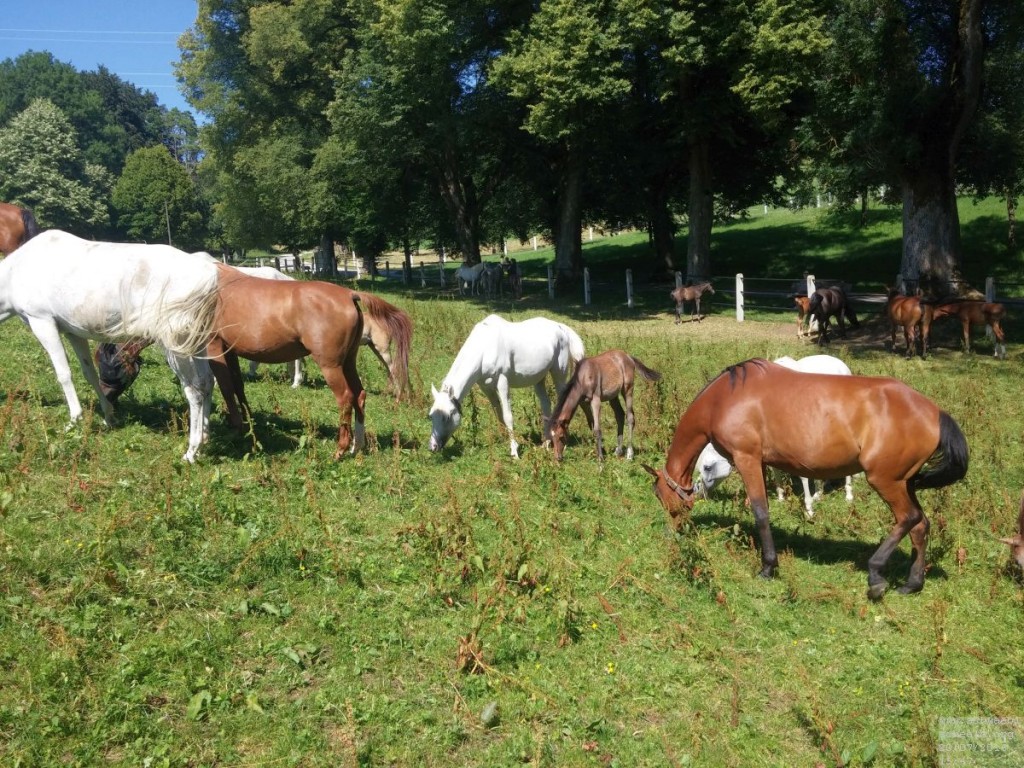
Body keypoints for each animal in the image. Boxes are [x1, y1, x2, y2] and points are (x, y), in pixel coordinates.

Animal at [2, 231, 220, 462]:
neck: (16, 271)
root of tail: (208, 272)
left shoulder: (43, 323)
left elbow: (64, 374)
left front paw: (73, 421)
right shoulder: (74, 333)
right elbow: (88, 373)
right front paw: (108, 417)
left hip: (174, 345)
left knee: (194, 389)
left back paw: (191, 451)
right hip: (196, 343)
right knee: (207, 381)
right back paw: (204, 440)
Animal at [425, 315, 585, 460]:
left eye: (447, 416)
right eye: (431, 416)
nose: (433, 447)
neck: (485, 348)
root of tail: (560, 327)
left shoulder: (502, 383)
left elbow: (508, 416)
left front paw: (514, 451)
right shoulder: (486, 387)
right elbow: (498, 413)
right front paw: (503, 440)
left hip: (559, 373)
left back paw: (562, 443)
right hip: (539, 379)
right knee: (546, 404)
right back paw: (545, 443)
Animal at [643, 360, 970, 602]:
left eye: (660, 496)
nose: (671, 532)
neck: (725, 397)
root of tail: (934, 412)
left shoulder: (747, 458)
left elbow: (761, 513)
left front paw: (768, 567)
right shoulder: (762, 463)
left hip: (885, 480)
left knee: (909, 518)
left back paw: (876, 574)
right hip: (905, 482)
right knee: (921, 525)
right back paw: (912, 583)